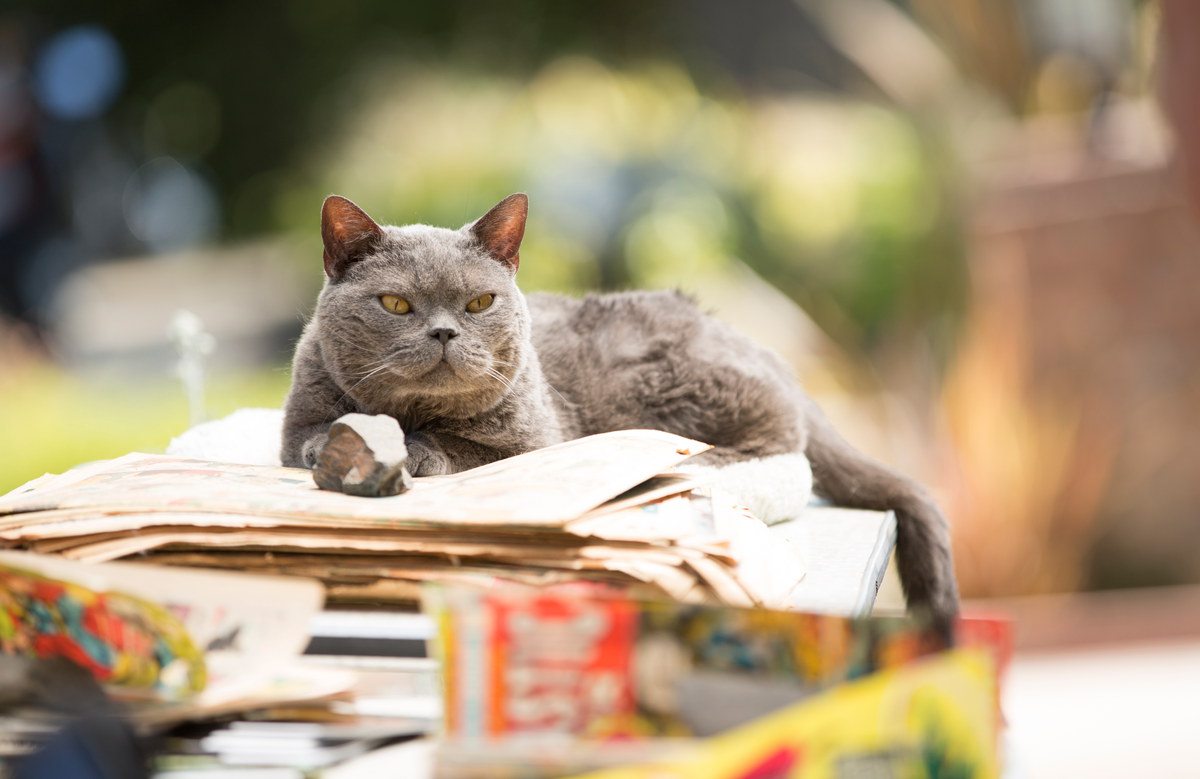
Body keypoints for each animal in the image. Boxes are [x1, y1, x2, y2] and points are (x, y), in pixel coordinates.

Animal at [278, 195, 955, 624]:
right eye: (395, 304)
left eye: (478, 303)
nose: (445, 332)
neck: (413, 413)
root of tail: (743, 336)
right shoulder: (299, 412)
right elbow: (309, 433)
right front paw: (336, 445)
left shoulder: (535, 439)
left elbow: (467, 446)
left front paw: (411, 450)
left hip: (674, 383)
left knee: (782, 442)